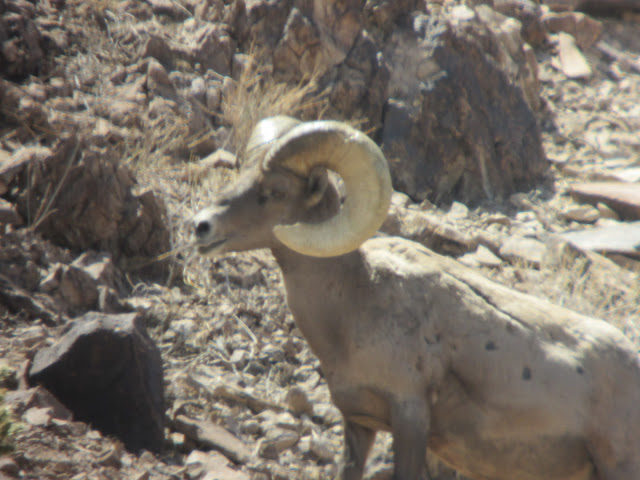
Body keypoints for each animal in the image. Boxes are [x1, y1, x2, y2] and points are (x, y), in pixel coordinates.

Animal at [191, 116, 640, 480]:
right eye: (241, 172)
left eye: (277, 190)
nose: (201, 225)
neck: (355, 305)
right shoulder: (358, 423)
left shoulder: (410, 417)